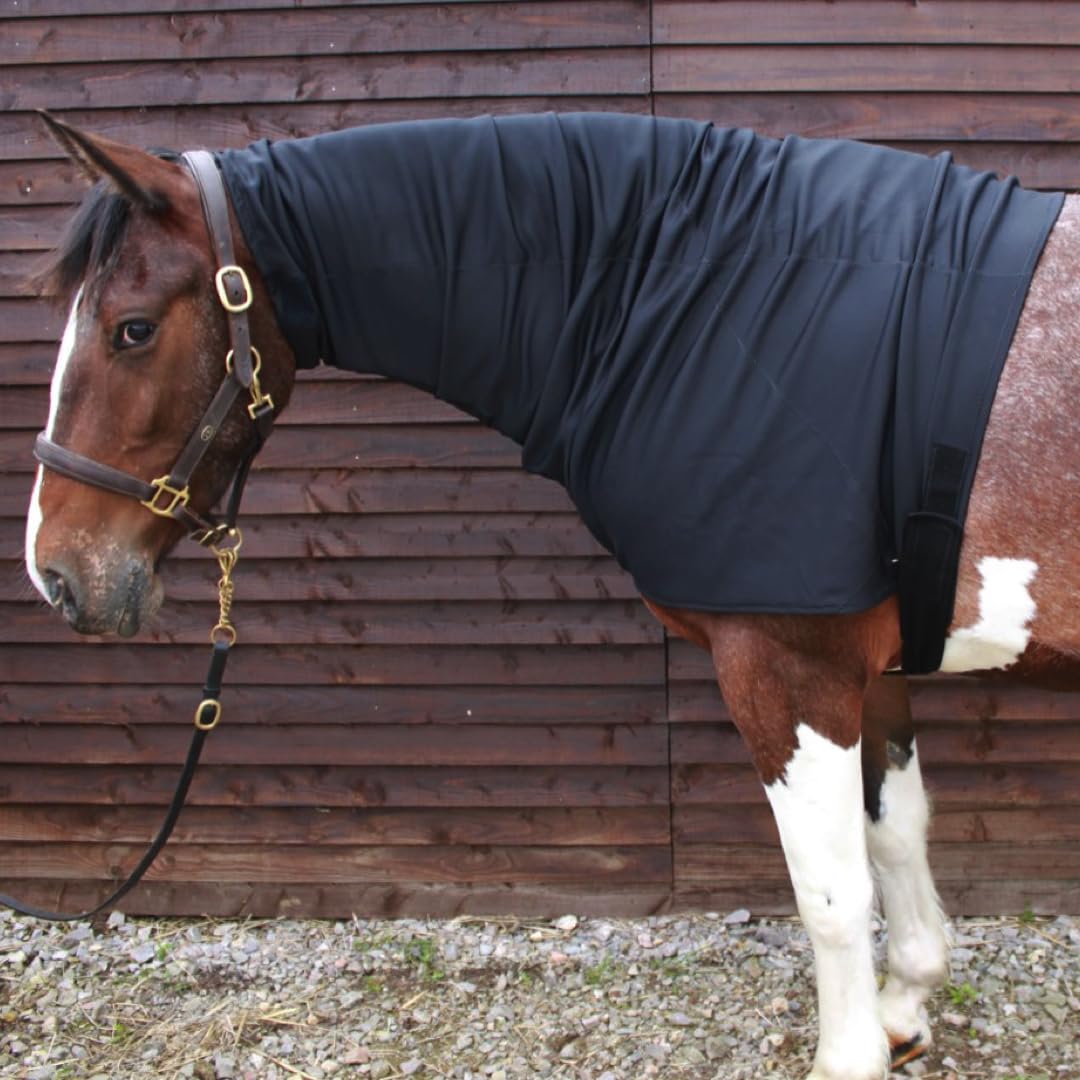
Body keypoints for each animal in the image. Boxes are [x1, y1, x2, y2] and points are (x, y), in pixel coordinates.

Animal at [22, 111, 1079, 1080]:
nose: (56, 572)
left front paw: (855, 1047)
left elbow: (831, 894)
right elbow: (896, 834)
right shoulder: (870, 670)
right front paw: (907, 1002)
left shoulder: (788, 669)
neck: (704, 295)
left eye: (132, 329)